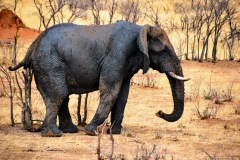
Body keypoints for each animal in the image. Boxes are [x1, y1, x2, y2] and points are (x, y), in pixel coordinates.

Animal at [8, 20, 189, 137]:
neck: (141, 29)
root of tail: (32, 47)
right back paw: (54, 134)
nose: (159, 112)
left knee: (62, 96)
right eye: (163, 50)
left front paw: (115, 133)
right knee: (59, 94)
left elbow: (122, 95)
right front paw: (91, 131)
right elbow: (111, 91)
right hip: (49, 63)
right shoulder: (117, 55)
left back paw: (69, 131)